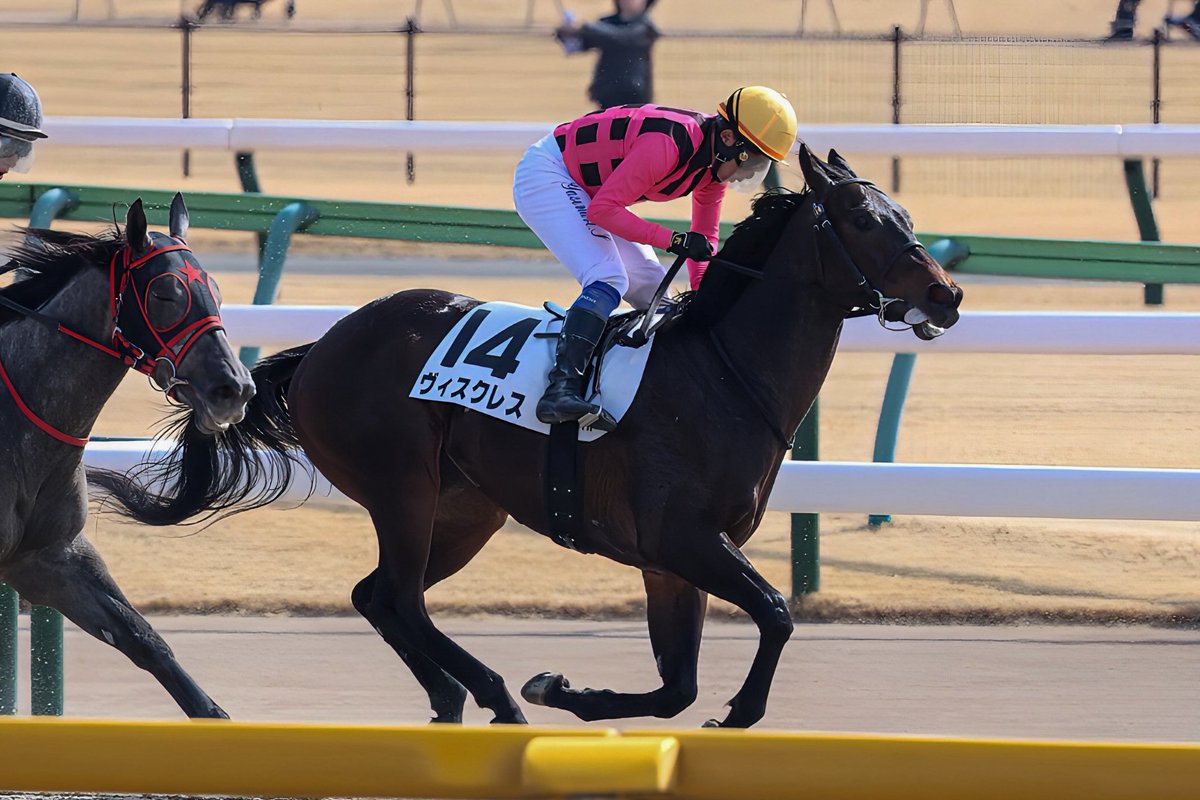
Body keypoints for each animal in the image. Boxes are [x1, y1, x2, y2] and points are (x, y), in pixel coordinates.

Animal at [0, 195, 254, 718]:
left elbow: (143, 638)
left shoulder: (48, 558)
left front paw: (215, 714)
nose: (234, 388)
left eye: (216, 291)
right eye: (166, 295)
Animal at [89, 145, 962, 728]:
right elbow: (777, 612)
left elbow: (676, 687)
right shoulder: (683, 539)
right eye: (863, 218)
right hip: (402, 487)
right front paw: (737, 709)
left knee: (380, 596)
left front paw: (571, 693)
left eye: (907, 216)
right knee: (399, 596)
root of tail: (321, 349)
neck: (722, 375)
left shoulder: (670, 561)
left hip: (466, 509)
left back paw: (458, 696)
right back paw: (495, 694)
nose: (946, 294)